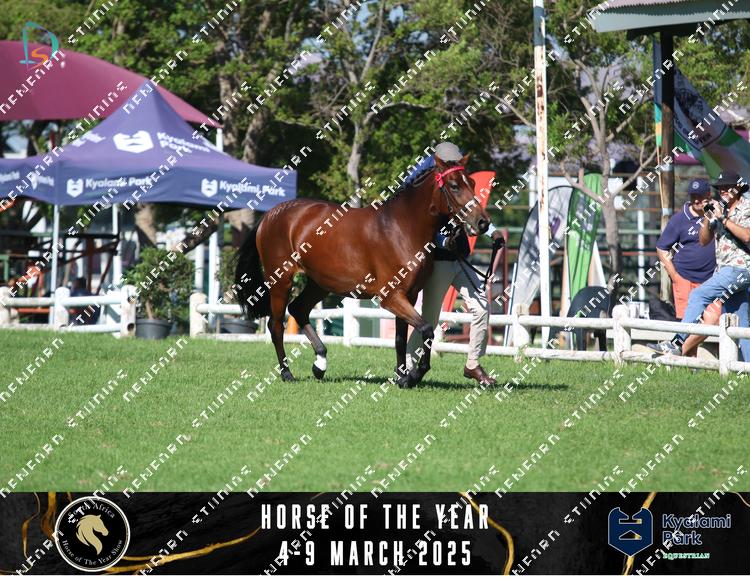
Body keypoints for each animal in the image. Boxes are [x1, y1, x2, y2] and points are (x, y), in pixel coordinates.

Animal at [235, 155, 490, 388]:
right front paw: (415, 375)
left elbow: (400, 339)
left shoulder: (408, 296)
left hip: (320, 283)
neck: (402, 228)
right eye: (454, 185)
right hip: (281, 281)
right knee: (276, 325)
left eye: (472, 183)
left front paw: (402, 377)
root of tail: (270, 215)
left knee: (298, 309)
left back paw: (320, 364)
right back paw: (287, 373)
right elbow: (427, 330)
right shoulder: (391, 297)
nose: (482, 222)